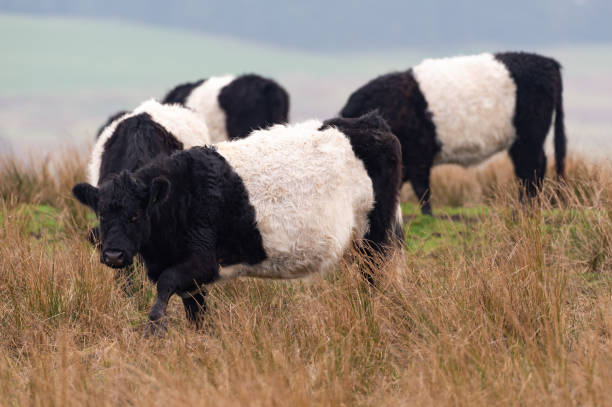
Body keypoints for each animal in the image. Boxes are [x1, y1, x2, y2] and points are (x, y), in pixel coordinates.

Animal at [71, 112, 404, 334]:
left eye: (135, 215)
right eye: (102, 214)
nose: (114, 255)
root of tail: (369, 122)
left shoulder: (204, 261)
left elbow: (166, 283)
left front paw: (154, 327)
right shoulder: (189, 274)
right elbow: (195, 312)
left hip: (374, 231)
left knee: (373, 273)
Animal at [340, 51, 564, 214]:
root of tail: (547, 61)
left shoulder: (419, 154)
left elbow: (422, 188)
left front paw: (428, 215)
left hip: (528, 137)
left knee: (531, 168)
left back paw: (526, 205)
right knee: (533, 167)